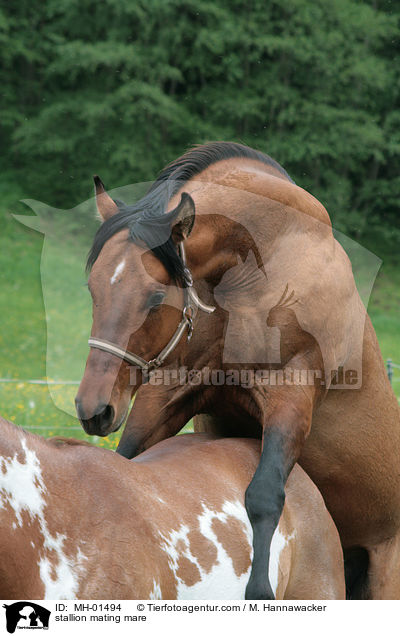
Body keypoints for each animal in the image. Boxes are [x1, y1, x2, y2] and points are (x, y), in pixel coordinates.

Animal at [74, 142, 400, 600]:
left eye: (156, 297)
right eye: (94, 289)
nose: (94, 408)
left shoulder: (290, 396)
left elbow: (264, 496)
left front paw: (259, 589)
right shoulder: (168, 395)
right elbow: (127, 465)